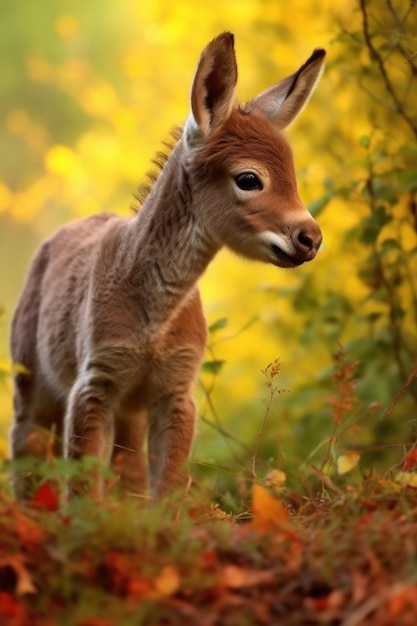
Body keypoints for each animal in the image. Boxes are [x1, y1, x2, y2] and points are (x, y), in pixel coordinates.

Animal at [9, 33, 324, 498]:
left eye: (294, 177)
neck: (153, 325)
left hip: (128, 415)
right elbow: (83, 492)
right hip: (30, 384)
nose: (311, 238)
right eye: (249, 178)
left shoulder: (175, 390)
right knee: (25, 468)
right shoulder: (94, 381)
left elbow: (167, 493)